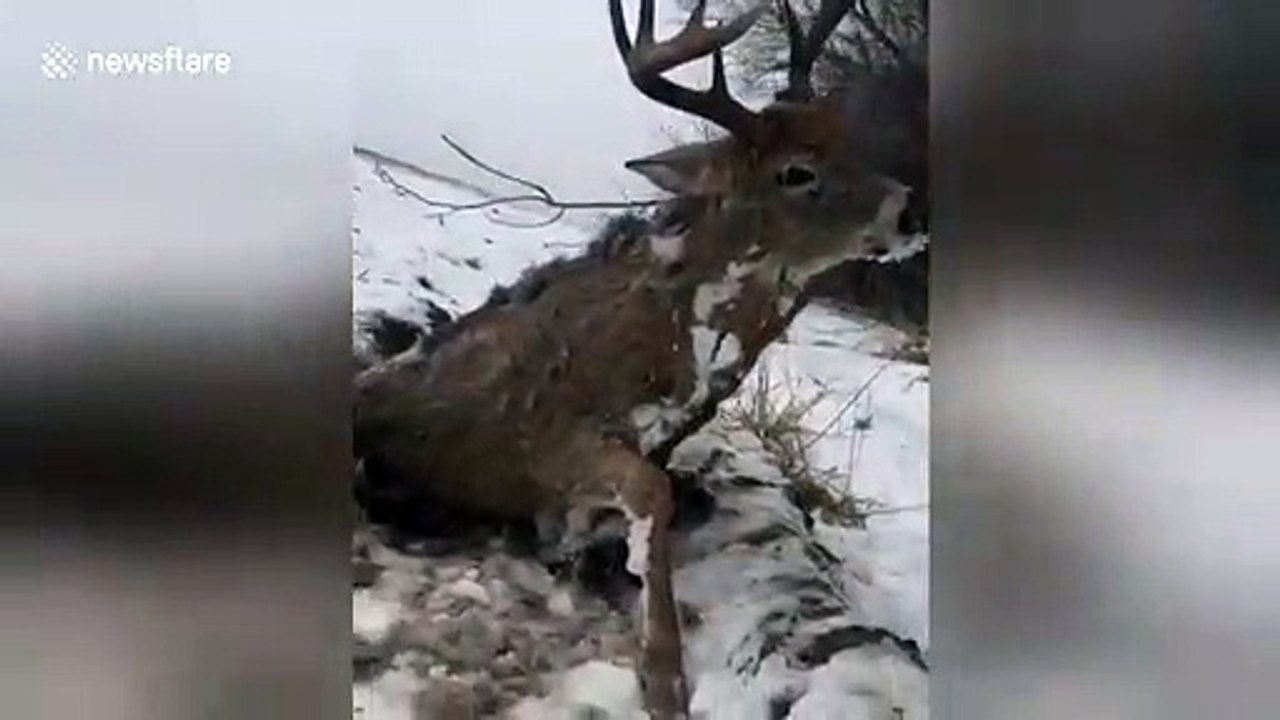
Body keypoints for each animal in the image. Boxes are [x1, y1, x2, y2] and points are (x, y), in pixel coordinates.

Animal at [354, 1, 926, 717]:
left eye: (852, 143)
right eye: (796, 171)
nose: (911, 211)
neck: (666, 356)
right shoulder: (546, 443)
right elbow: (650, 493)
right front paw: (664, 678)